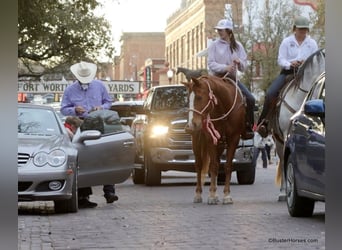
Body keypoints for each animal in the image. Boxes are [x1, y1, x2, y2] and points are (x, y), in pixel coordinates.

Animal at [183, 75, 247, 204]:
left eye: (199, 97)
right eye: (187, 100)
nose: (190, 125)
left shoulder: (234, 139)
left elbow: (227, 165)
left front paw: (226, 195)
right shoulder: (210, 139)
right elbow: (212, 166)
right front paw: (212, 195)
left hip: (221, 144)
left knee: (217, 162)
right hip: (197, 140)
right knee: (199, 165)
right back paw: (198, 194)